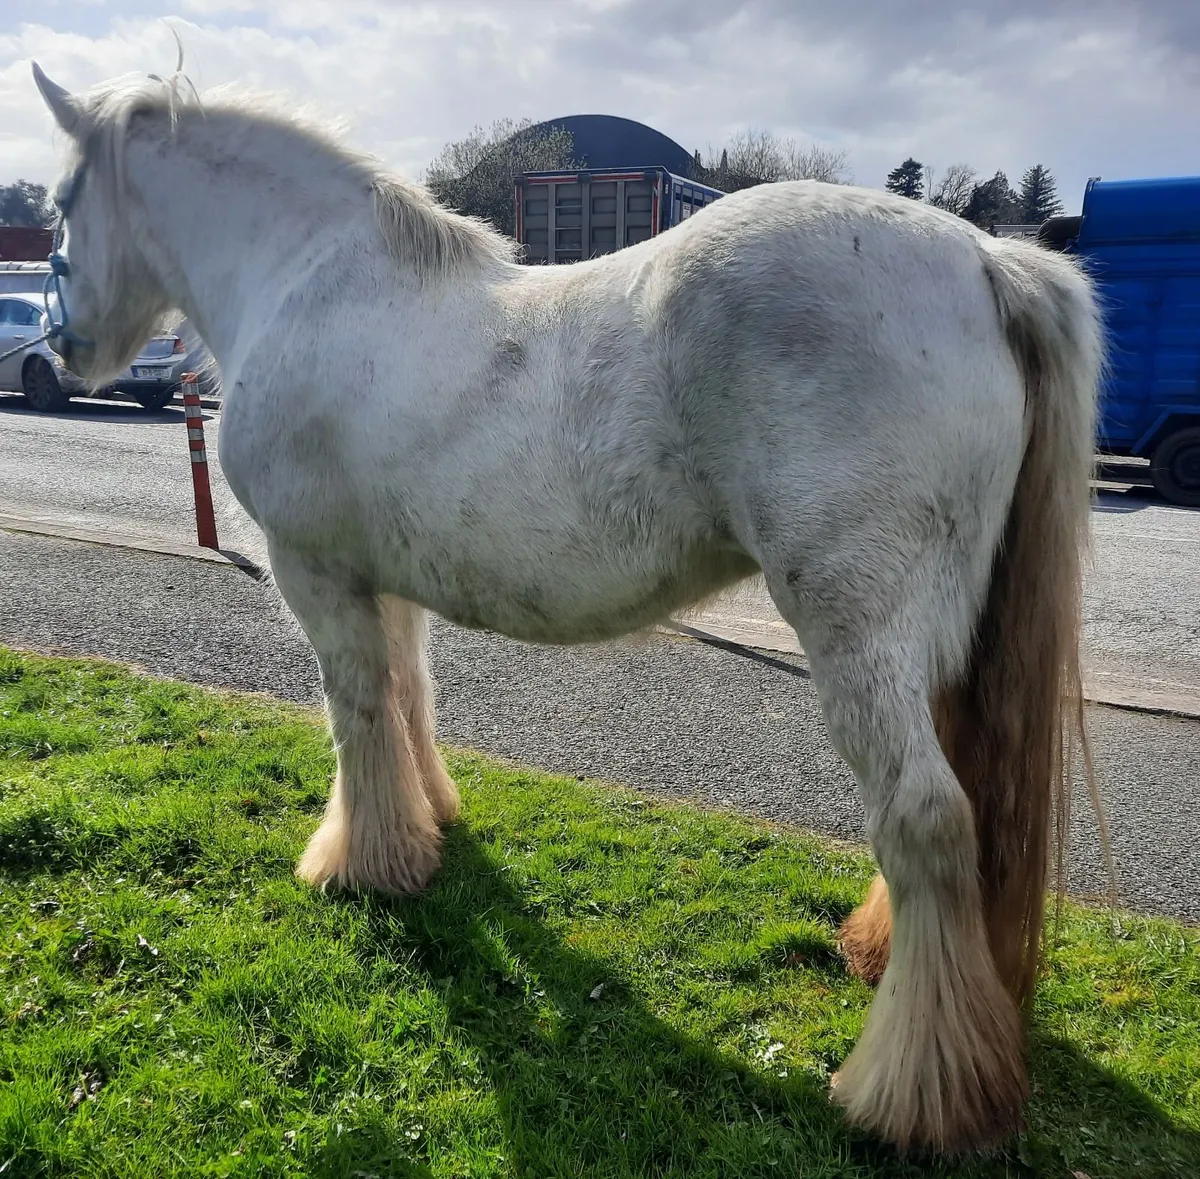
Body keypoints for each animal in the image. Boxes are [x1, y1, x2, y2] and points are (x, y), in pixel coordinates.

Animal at [31, 61, 1102, 1156]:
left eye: (60, 200)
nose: (64, 347)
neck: (307, 275)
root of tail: (987, 260)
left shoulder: (315, 572)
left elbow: (357, 714)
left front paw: (361, 864)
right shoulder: (386, 579)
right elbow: (408, 696)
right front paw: (430, 828)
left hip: (860, 637)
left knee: (925, 819)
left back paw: (913, 1092)